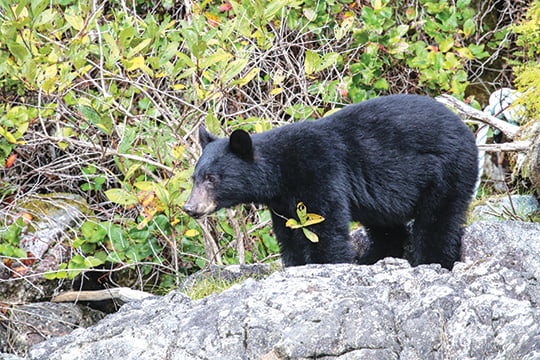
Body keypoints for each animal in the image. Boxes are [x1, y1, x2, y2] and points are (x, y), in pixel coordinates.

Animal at [184, 94, 478, 268]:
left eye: (211, 178)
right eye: (195, 177)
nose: (190, 207)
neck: (281, 171)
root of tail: (465, 128)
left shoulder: (320, 172)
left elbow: (325, 228)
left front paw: (327, 264)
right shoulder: (281, 203)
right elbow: (290, 236)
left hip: (447, 172)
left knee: (437, 221)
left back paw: (432, 261)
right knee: (387, 227)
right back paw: (374, 259)